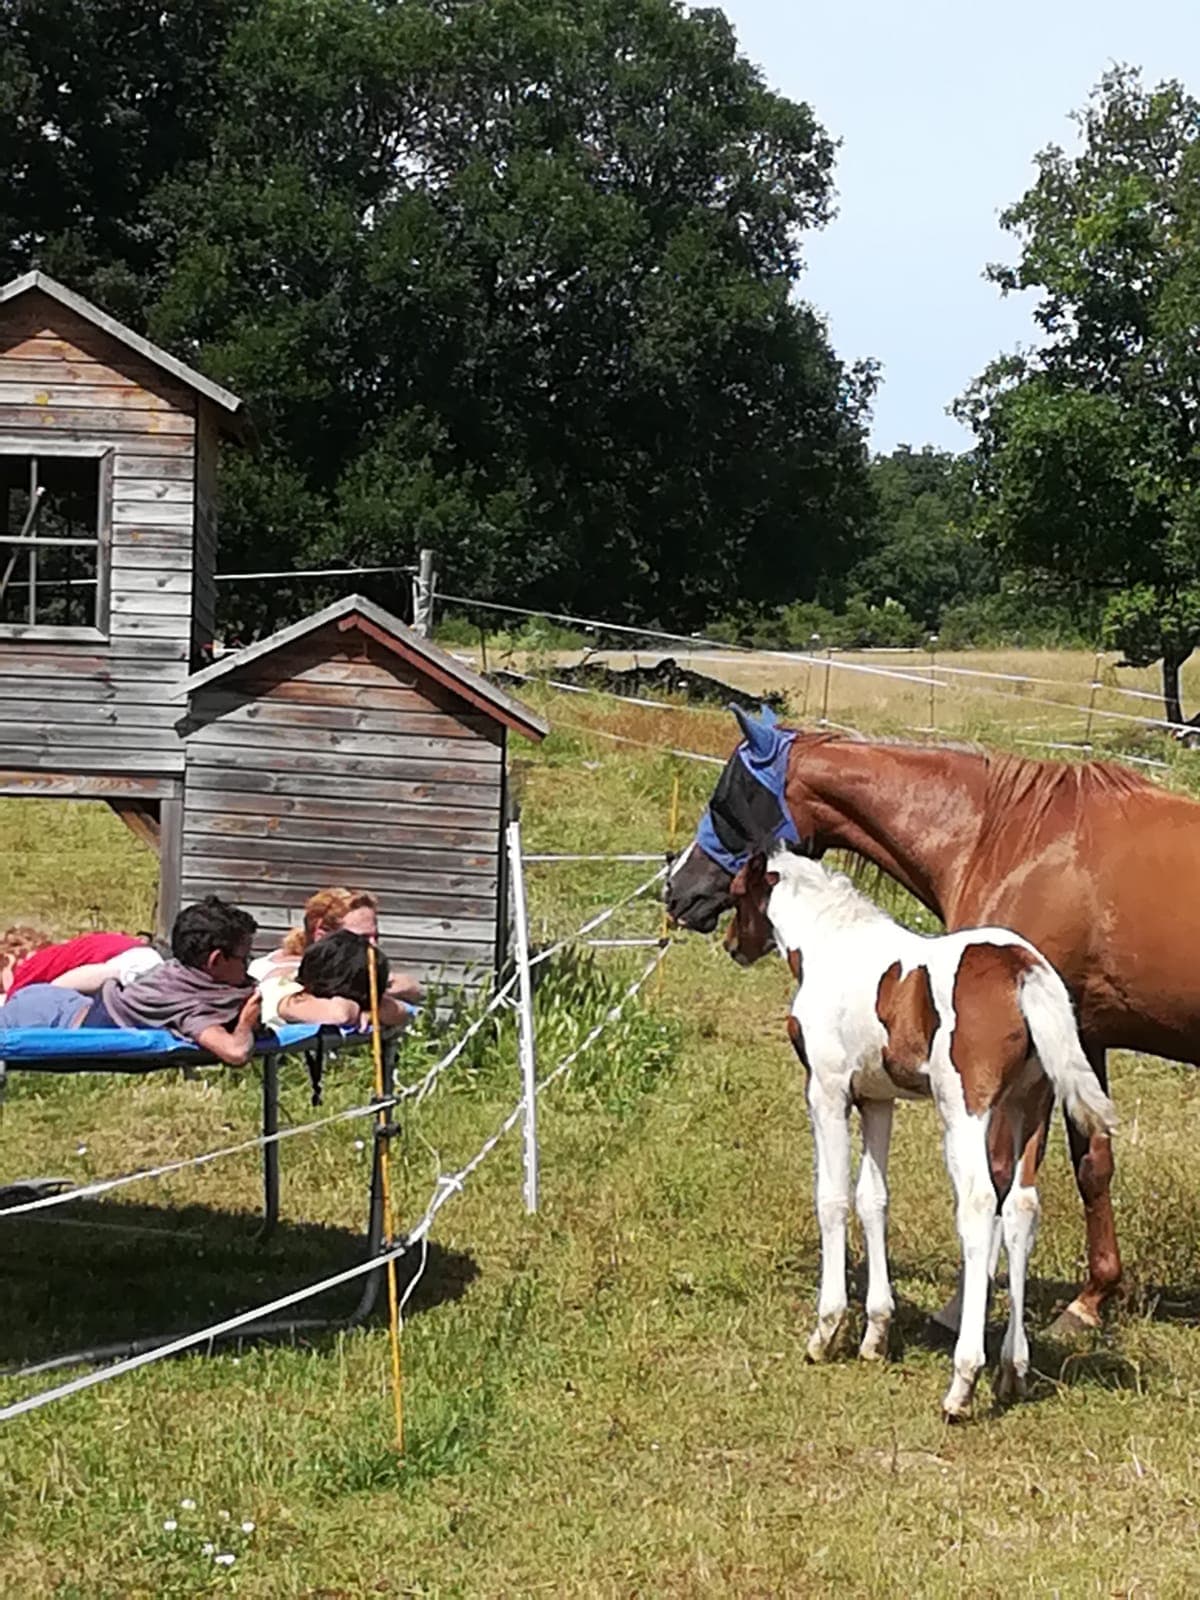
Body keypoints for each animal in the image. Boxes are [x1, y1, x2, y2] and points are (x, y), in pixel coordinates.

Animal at [665, 704, 1200, 1337]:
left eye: (727, 802)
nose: (677, 890)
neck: (1008, 838)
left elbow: (998, 1176)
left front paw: (966, 1307)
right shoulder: (1080, 1046)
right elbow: (1091, 1165)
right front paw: (1091, 1298)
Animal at [723, 847, 1115, 1418]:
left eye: (735, 893)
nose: (732, 945)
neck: (832, 945)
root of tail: (1024, 970)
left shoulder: (827, 1090)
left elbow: (832, 1198)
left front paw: (827, 1332)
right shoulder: (877, 1099)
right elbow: (873, 1198)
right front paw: (875, 1335)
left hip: (965, 1110)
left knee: (979, 1205)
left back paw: (963, 1383)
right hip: (1030, 1107)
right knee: (1022, 1209)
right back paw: (1013, 1371)